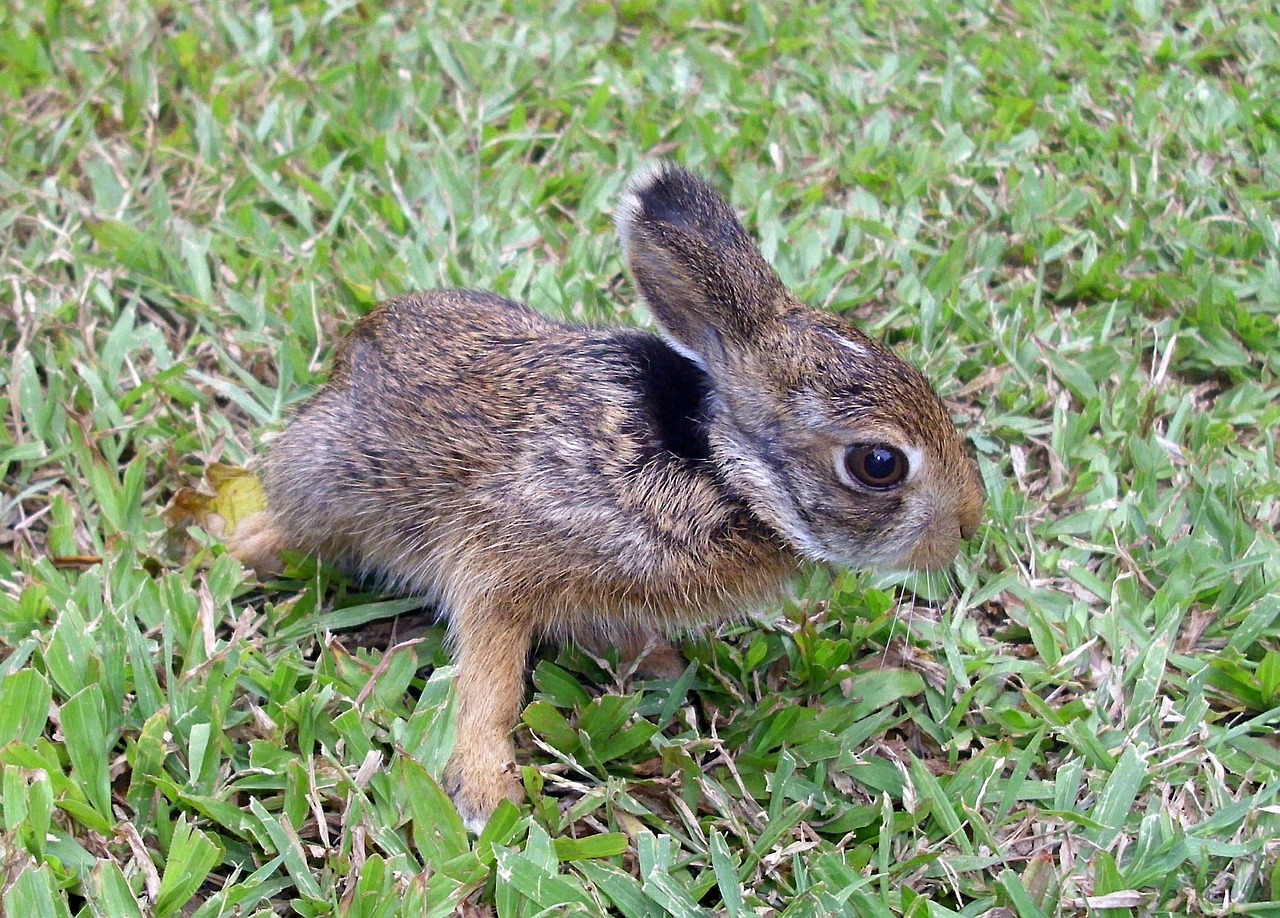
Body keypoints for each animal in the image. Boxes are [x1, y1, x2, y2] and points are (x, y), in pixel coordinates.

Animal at [232, 163, 988, 829]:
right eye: (879, 464)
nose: (968, 524)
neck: (721, 469)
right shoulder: (501, 564)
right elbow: (490, 684)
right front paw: (486, 795)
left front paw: (660, 667)